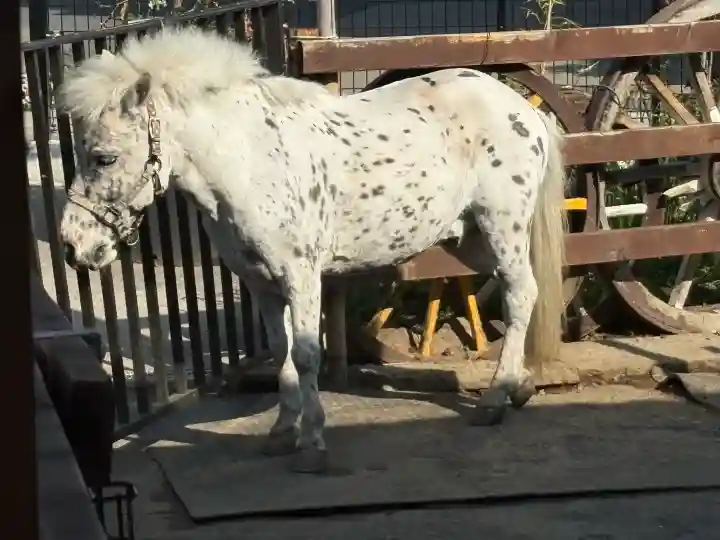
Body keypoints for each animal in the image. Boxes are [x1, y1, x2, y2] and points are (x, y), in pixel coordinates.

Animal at [58, 27, 567, 474]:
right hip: (470, 238)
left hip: (501, 227)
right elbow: (281, 351)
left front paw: (313, 445)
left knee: (520, 294)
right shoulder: (259, 282)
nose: (72, 245)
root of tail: (523, 109)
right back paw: (520, 387)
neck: (250, 161)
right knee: (521, 293)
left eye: (104, 157)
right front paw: (283, 433)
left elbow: (305, 355)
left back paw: (495, 399)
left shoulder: (300, 277)